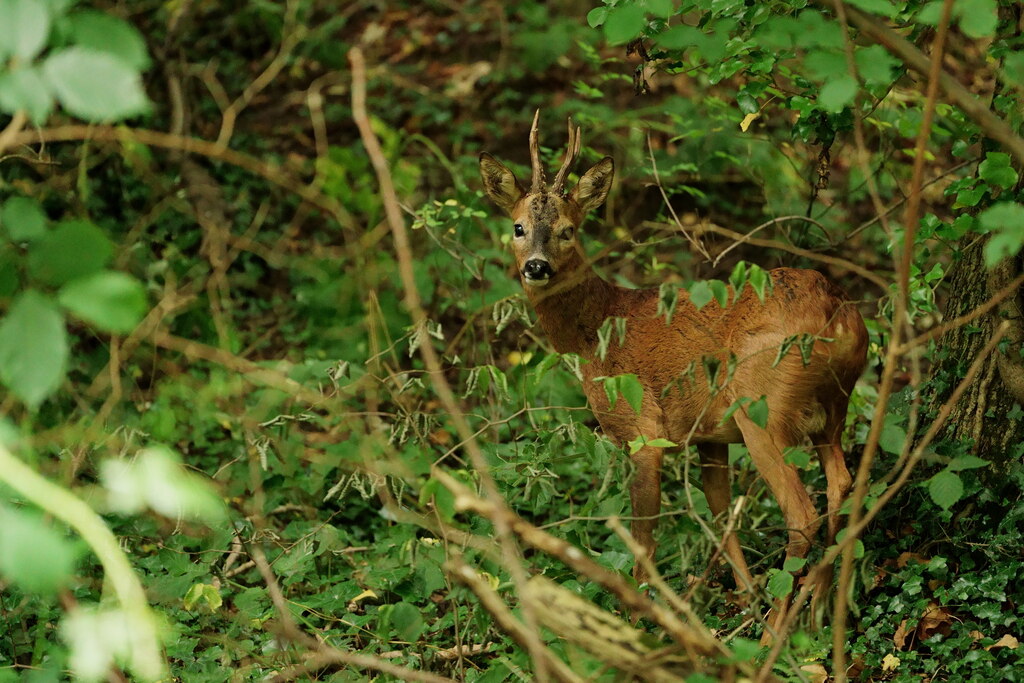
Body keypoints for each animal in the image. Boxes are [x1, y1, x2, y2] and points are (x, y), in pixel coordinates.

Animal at [483, 113, 868, 634]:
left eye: (568, 230)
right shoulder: (708, 435)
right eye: (518, 226)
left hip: (762, 406)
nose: (537, 266)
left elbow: (644, 538)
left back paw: (776, 629)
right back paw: (818, 611)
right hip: (833, 408)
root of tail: (838, 314)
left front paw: (635, 619)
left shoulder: (643, 431)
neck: (598, 331)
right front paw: (742, 600)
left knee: (802, 511)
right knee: (842, 486)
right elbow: (721, 513)